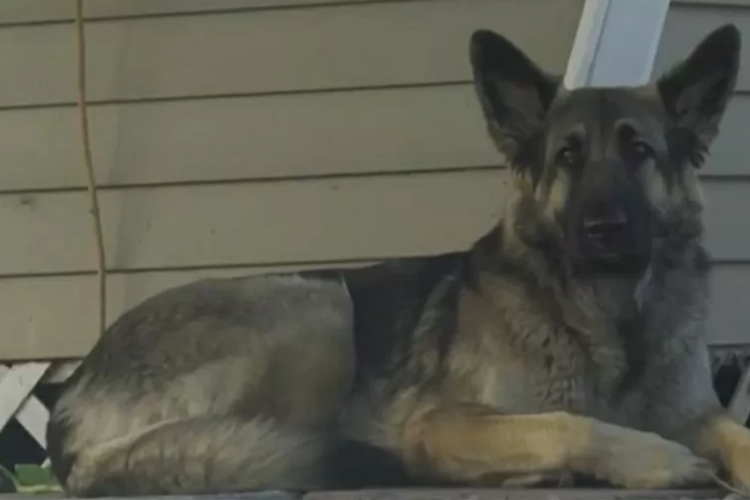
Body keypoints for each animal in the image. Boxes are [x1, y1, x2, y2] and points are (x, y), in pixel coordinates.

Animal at [46, 23, 750, 497]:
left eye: (640, 152)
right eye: (568, 157)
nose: (605, 230)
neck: (609, 322)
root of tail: (75, 387)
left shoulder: (698, 414)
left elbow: (735, 432)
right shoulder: (441, 421)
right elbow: (565, 423)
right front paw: (656, 460)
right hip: (318, 305)